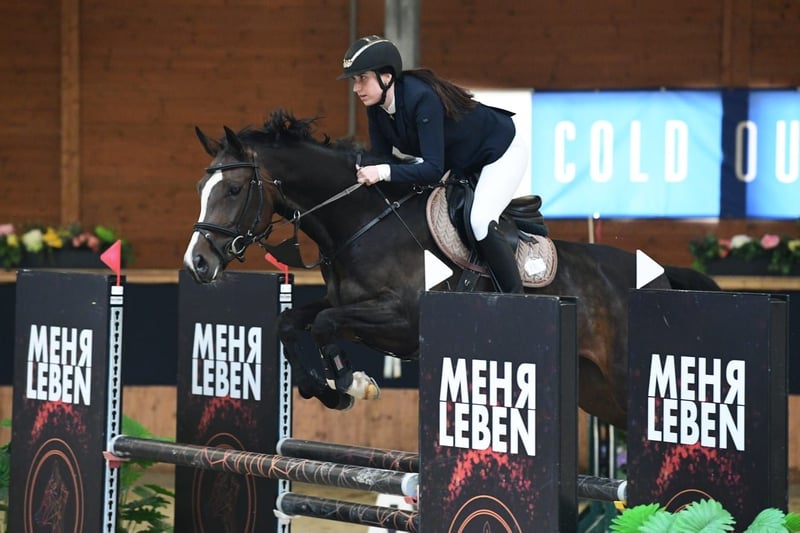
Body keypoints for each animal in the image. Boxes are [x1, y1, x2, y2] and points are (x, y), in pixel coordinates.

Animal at [183, 108, 719, 430]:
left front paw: (352, 383)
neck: (362, 222)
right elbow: (291, 322)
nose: (197, 263)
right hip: (598, 390)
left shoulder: (402, 320)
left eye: (234, 190)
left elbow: (324, 324)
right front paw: (330, 390)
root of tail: (661, 276)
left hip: (624, 382)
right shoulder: (347, 302)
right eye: (201, 189)